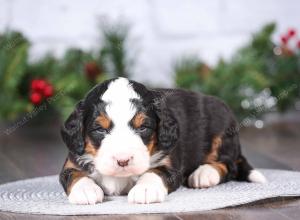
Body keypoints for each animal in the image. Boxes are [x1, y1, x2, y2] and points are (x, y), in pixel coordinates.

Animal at [59, 77, 266, 205]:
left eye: (143, 127)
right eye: (100, 129)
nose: (123, 160)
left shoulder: (170, 163)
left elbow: (155, 172)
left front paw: (145, 190)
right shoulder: (72, 160)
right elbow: (73, 175)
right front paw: (85, 190)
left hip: (221, 126)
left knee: (229, 165)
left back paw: (205, 174)